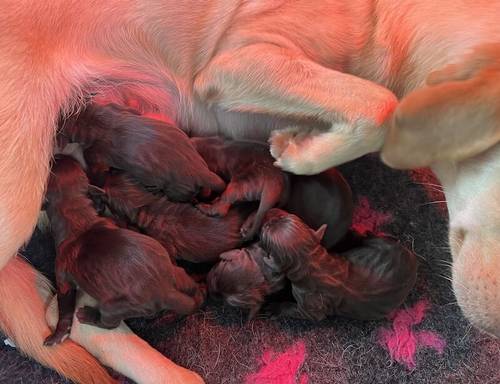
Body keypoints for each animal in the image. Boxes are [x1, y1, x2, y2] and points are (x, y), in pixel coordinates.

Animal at [44, 154, 205, 346]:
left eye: (51, 167)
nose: (58, 155)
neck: (77, 216)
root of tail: (165, 289)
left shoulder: (62, 273)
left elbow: (64, 306)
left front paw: (56, 336)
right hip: (177, 272)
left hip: (112, 306)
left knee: (109, 323)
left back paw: (88, 315)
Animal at [57, 103, 224, 202]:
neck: (95, 122)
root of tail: (200, 171)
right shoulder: (116, 107)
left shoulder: (95, 156)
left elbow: (95, 170)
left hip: (176, 189)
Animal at [260, 208, 416, 322]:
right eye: (285, 215)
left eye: (266, 228)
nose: (269, 210)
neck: (311, 260)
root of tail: (412, 257)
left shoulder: (310, 304)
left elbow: (300, 311)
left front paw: (276, 308)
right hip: (382, 244)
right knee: (368, 237)